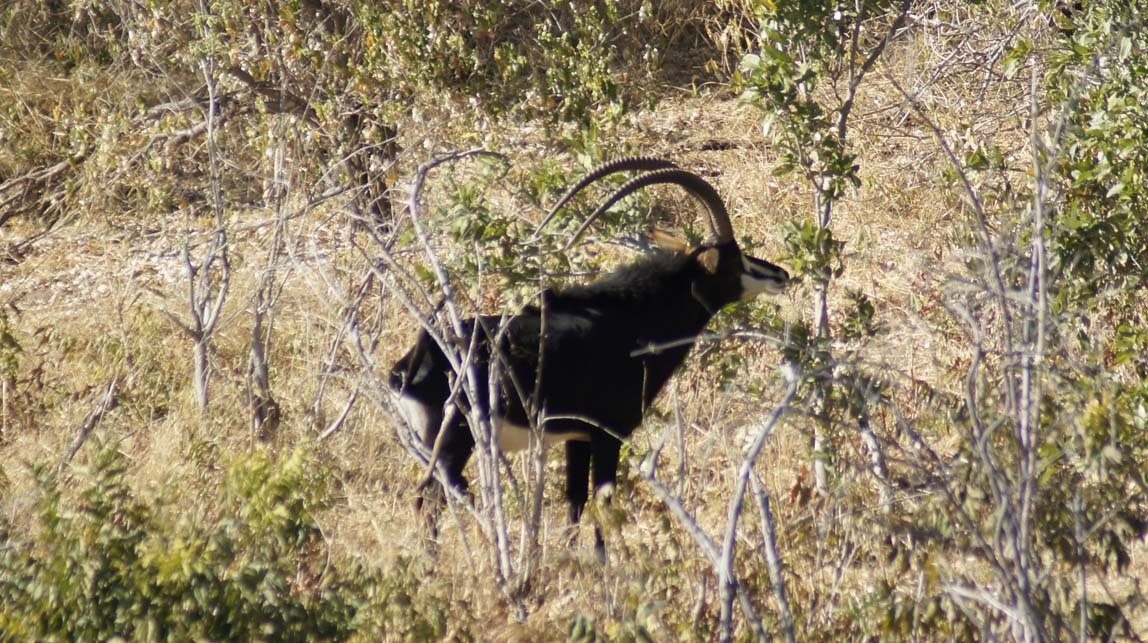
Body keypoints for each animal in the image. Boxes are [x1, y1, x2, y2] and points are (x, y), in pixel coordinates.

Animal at [388, 158, 789, 555]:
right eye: (735, 259)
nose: (780, 274)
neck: (631, 318)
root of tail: (411, 366)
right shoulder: (609, 433)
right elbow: (602, 503)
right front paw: (604, 563)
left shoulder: (576, 437)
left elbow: (575, 501)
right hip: (455, 443)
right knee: (427, 499)